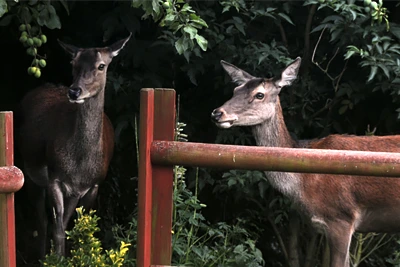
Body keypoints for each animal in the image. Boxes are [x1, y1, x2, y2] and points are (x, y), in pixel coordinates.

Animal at [16, 34, 131, 258]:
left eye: (101, 65)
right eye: (73, 64)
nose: (75, 91)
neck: (80, 165)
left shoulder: (94, 184)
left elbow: (81, 229)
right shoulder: (54, 177)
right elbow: (58, 230)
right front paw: (57, 259)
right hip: (29, 171)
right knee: (42, 221)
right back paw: (41, 256)